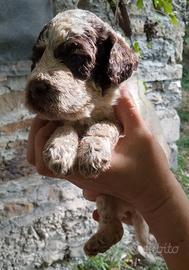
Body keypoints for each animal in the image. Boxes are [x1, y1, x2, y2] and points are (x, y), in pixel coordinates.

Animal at [25, 9, 170, 256]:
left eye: (76, 57)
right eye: (36, 58)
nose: (35, 88)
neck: (91, 106)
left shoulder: (122, 118)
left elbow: (104, 126)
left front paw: (91, 152)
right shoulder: (66, 116)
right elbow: (65, 124)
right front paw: (59, 148)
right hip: (104, 197)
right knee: (114, 226)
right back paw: (99, 240)